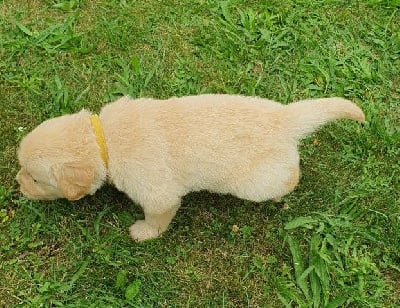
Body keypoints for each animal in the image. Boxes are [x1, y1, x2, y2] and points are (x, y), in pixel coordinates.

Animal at [17, 94, 364, 241]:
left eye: (35, 178)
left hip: (256, 182)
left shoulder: (158, 194)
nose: (18, 184)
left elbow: (158, 216)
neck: (105, 141)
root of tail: (286, 119)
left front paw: (144, 233)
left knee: (289, 177)